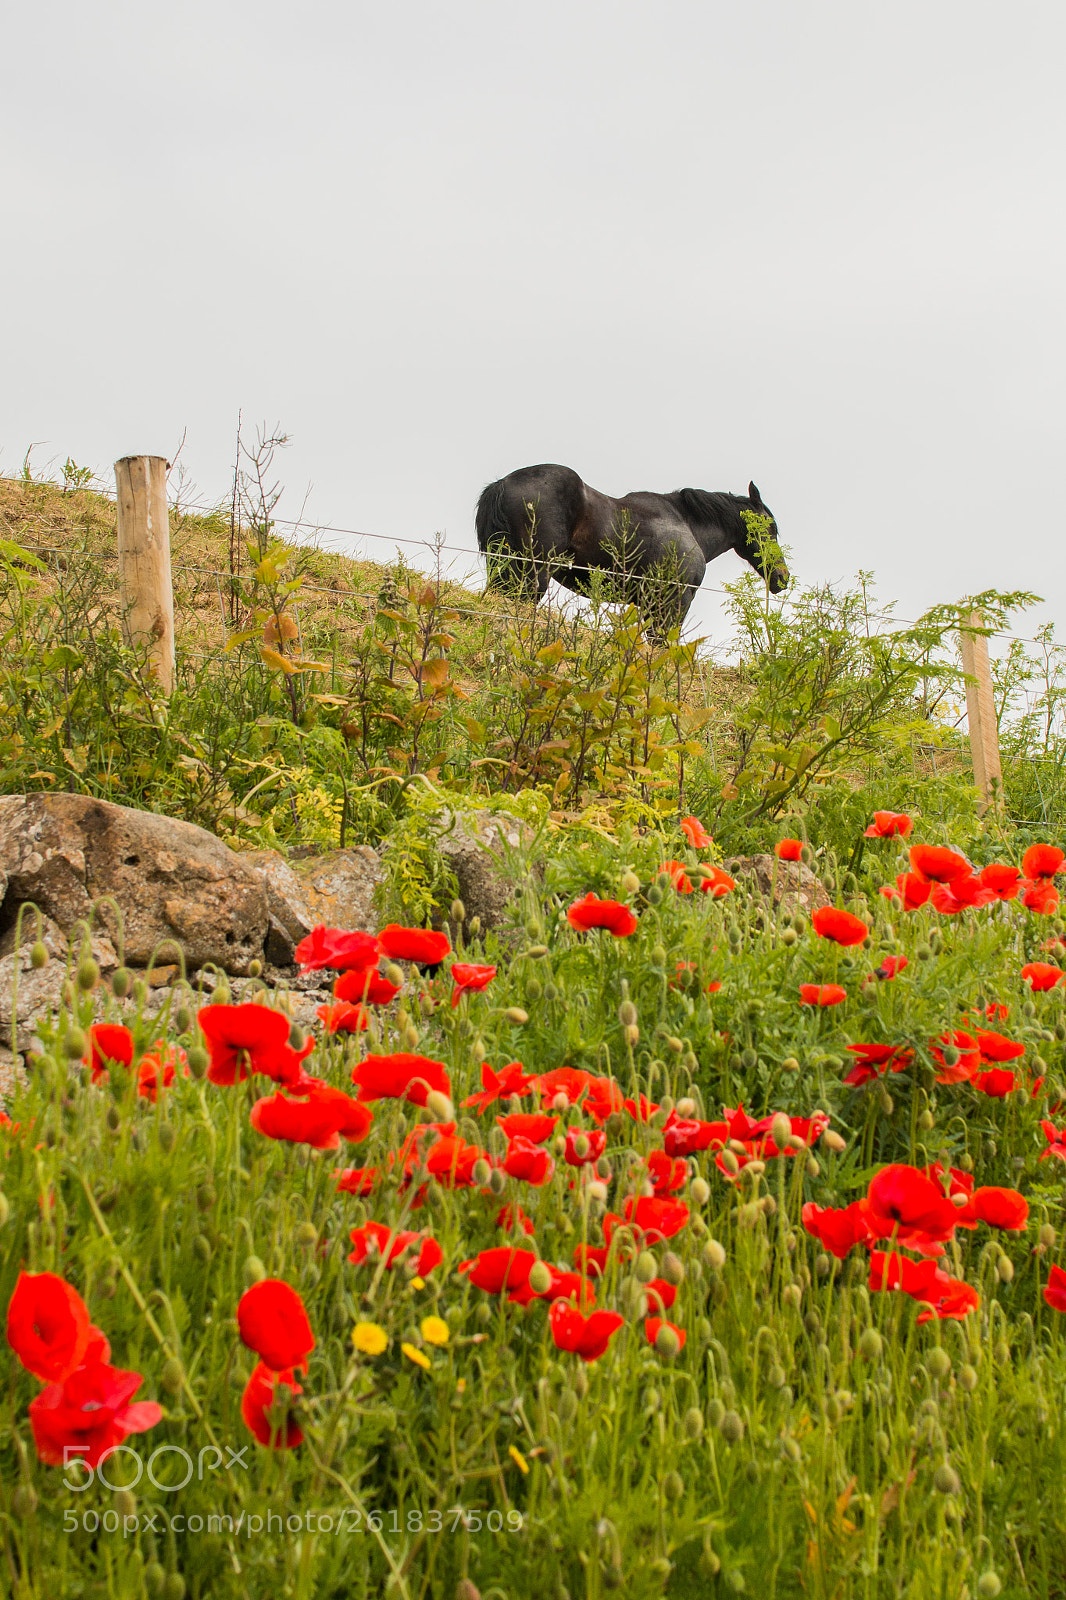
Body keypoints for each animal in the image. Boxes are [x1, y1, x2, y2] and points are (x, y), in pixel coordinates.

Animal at [475, 463, 789, 632]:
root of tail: (502, 484)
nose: (782, 577)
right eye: (772, 528)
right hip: (533, 573)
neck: (686, 523)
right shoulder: (675, 602)